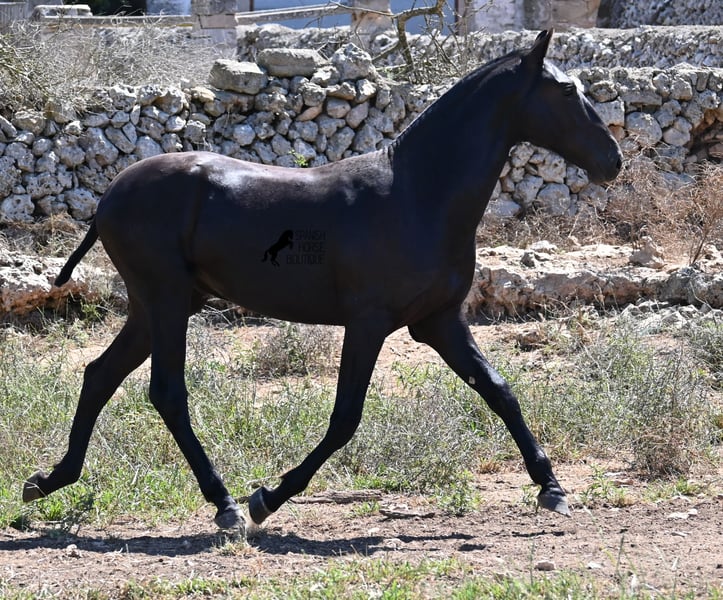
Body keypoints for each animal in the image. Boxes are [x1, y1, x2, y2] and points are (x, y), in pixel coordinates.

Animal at [23, 30, 622, 530]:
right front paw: (267, 498)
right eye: (566, 91)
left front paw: (551, 487)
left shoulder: (439, 322)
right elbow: (345, 419)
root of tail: (109, 197)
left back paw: (48, 481)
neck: (418, 193)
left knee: (100, 376)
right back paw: (224, 504)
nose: (613, 159)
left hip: (158, 306)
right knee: (166, 392)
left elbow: (500, 392)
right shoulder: (369, 324)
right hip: (166, 301)